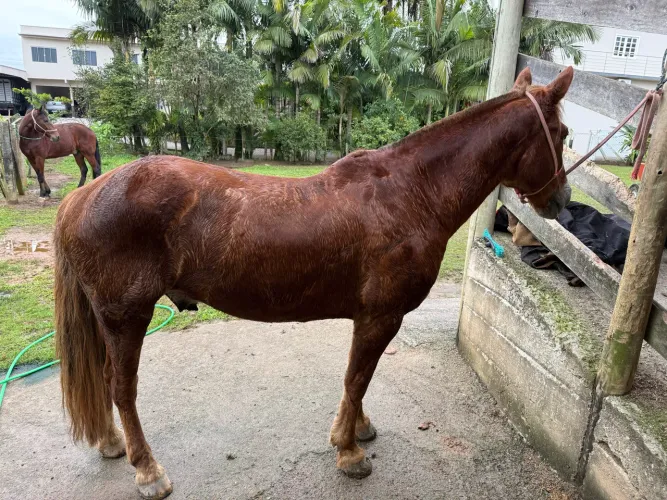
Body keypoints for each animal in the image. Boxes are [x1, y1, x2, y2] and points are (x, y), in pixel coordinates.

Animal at [53, 67, 573, 499]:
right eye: (564, 134)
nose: (562, 201)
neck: (411, 193)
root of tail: (84, 195)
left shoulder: (368, 318)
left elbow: (358, 379)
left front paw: (357, 428)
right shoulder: (381, 316)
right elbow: (357, 377)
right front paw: (349, 451)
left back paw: (111, 443)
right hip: (127, 316)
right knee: (121, 387)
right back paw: (147, 470)